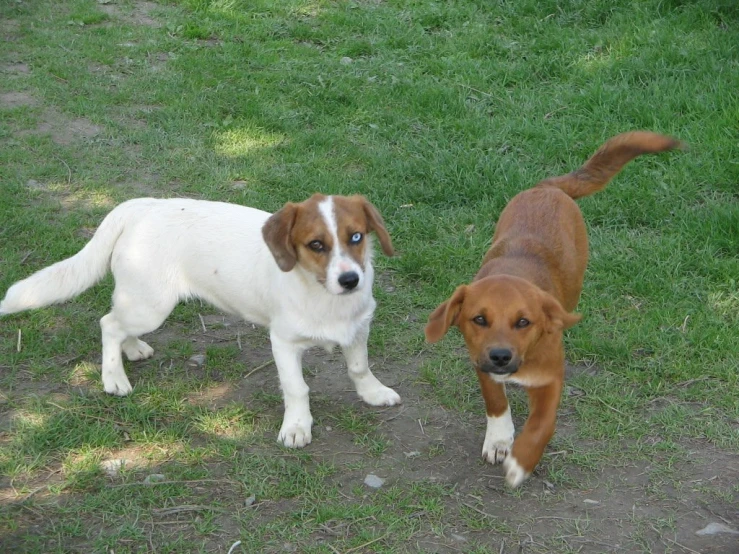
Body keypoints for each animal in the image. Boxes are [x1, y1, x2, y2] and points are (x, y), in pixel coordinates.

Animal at [0, 193, 402, 444]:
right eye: (316, 245)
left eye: (356, 237)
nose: (350, 280)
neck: (323, 297)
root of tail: (143, 206)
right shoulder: (284, 343)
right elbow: (296, 389)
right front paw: (297, 427)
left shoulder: (358, 328)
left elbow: (359, 368)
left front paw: (372, 393)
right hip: (151, 305)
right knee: (108, 324)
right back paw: (114, 377)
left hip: (141, 301)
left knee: (117, 320)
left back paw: (134, 350)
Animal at [424, 132, 684, 486]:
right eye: (479, 319)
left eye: (524, 322)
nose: (501, 356)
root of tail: (547, 188)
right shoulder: (481, 363)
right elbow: (496, 401)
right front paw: (499, 440)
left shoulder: (549, 379)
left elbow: (542, 424)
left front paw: (522, 461)